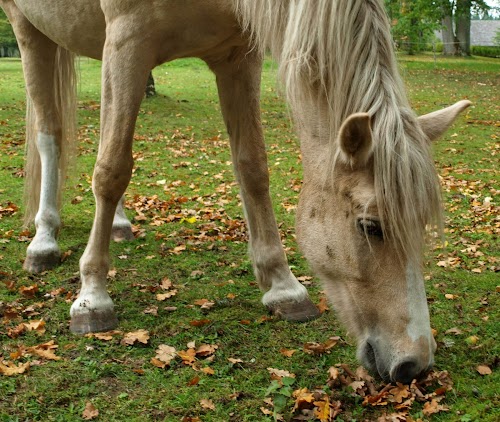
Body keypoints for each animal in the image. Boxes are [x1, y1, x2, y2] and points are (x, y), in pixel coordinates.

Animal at [0, 0, 468, 386]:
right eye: (370, 226)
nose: (414, 364)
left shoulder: (237, 55)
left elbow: (252, 167)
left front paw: (283, 286)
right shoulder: (127, 40)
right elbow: (111, 170)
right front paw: (93, 297)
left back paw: (117, 223)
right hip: (30, 31)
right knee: (50, 135)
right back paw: (44, 240)